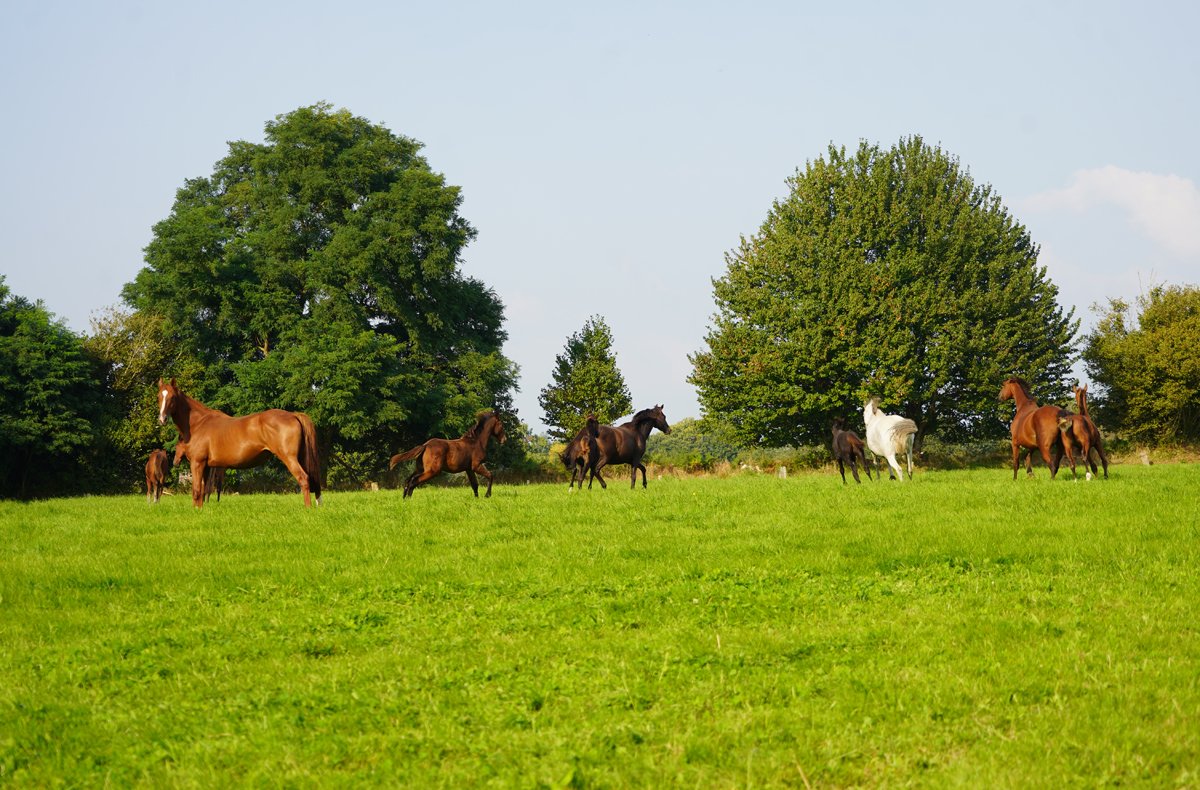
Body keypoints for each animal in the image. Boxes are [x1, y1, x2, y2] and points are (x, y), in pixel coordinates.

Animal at [156, 378, 322, 508]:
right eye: (159, 396)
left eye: (172, 397)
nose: (162, 419)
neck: (198, 423)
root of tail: (293, 415)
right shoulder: (206, 467)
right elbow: (202, 492)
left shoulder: (197, 463)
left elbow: (196, 491)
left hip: (289, 458)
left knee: (303, 479)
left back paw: (307, 508)